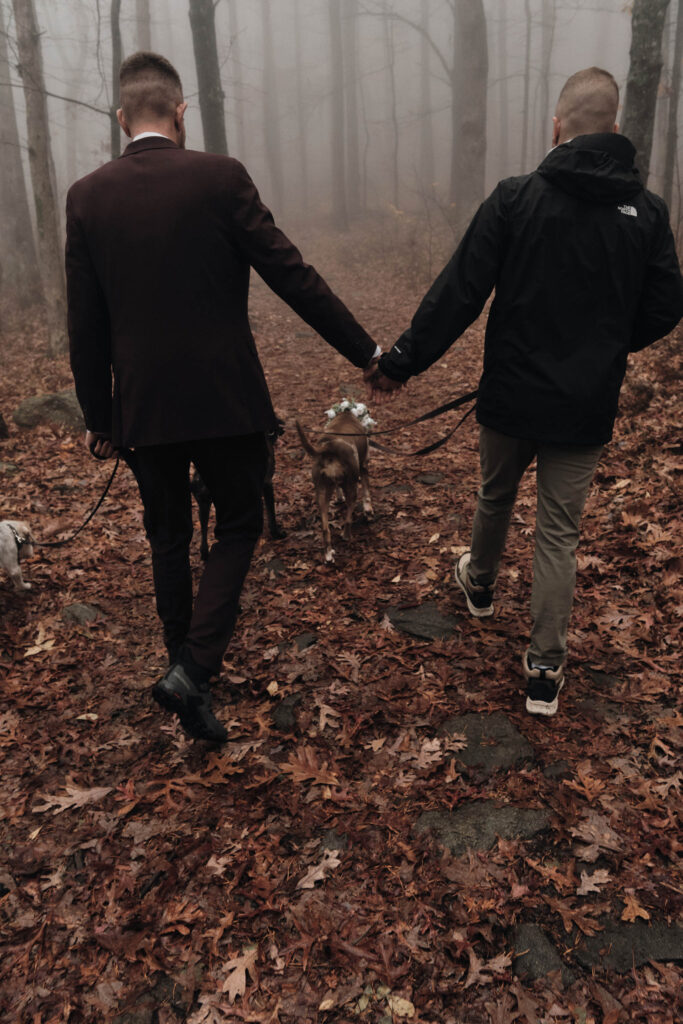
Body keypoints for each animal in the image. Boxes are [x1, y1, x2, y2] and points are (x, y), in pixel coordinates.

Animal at [191, 417, 286, 561]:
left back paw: (206, 555)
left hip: (205, 504)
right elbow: (271, 514)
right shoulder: (267, 484)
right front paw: (276, 534)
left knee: (204, 534)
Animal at [296, 407, 374, 565]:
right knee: (349, 516)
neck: (347, 414)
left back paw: (328, 554)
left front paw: (339, 498)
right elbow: (366, 493)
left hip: (321, 493)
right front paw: (368, 510)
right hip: (351, 486)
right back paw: (346, 535)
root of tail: (328, 449)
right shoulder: (364, 465)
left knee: (325, 529)